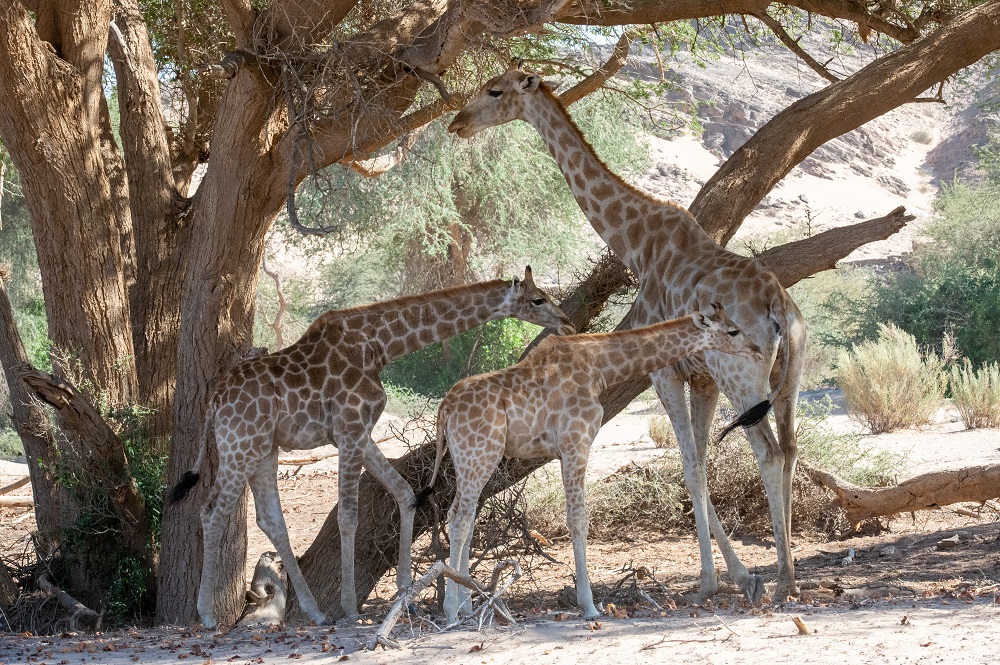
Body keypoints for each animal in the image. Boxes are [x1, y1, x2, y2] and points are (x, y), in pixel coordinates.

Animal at [169, 266, 576, 628]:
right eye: (538, 299)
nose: (568, 322)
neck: (378, 347)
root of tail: (214, 401)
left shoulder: (359, 433)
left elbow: (405, 492)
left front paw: (406, 593)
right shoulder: (350, 429)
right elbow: (348, 516)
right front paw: (351, 607)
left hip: (263, 449)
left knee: (270, 519)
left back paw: (314, 611)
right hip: (239, 446)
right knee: (213, 511)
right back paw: (207, 615)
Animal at [418, 304, 760, 620]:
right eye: (733, 331)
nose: (756, 350)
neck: (600, 368)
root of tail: (445, 408)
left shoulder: (567, 448)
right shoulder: (575, 443)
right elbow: (578, 520)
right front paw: (589, 605)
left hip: (469, 459)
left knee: (463, 517)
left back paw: (465, 605)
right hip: (479, 455)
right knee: (460, 519)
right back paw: (452, 610)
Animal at [450, 66, 808, 600]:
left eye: (495, 90)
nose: (457, 123)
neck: (638, 245)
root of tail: (778, 305)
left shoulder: (667, 372)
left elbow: (689, 466)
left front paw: (709, 582)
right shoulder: (701, 377)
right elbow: (700, 462)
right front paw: (739, 574)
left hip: (743, 377)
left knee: (767, 452)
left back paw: (783, 580)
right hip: (789, 378)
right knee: (789, 448)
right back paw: (789, 575)